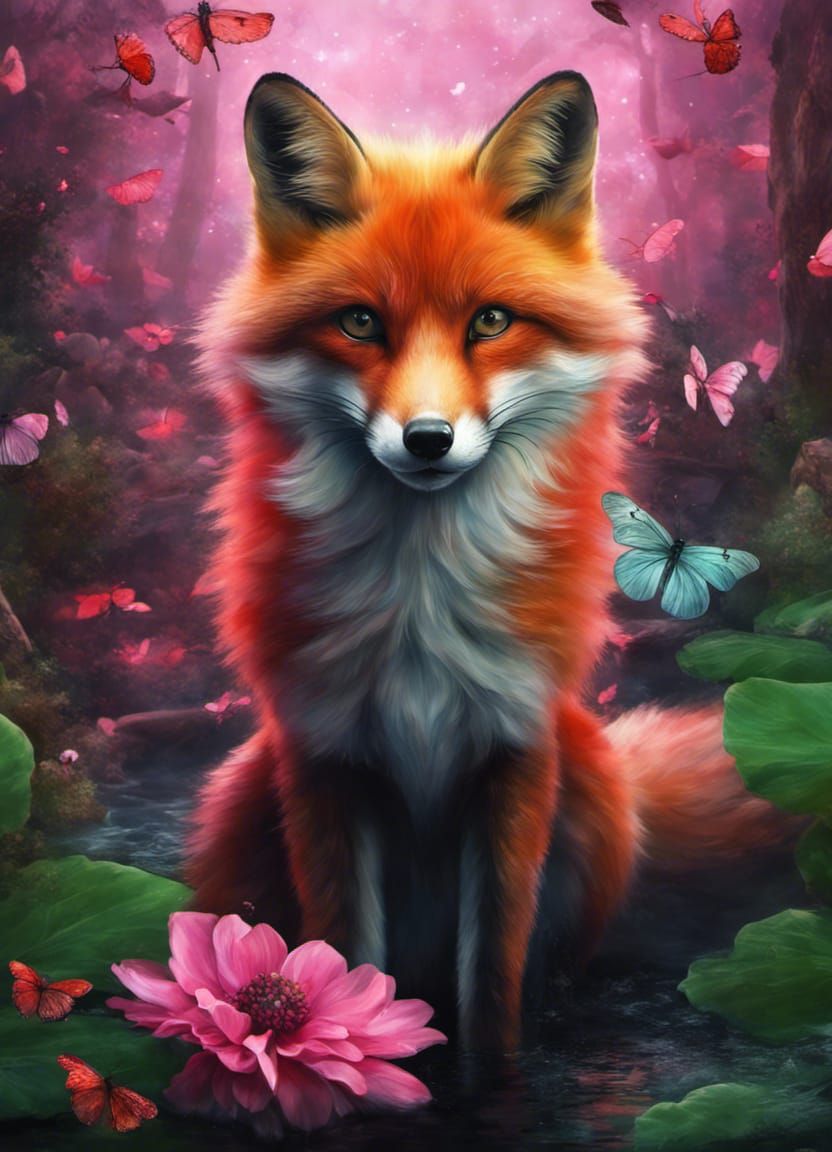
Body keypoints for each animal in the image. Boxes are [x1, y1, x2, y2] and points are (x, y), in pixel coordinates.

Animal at [188, 70, 780, 1052]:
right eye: (361, 322)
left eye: (492, 321)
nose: (427, 440)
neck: (421, 603)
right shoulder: (323, 755)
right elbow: (342, 959)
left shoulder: (515, 750)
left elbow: (493, 983)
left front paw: (492, 1072)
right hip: (241, 801)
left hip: (589, 779)